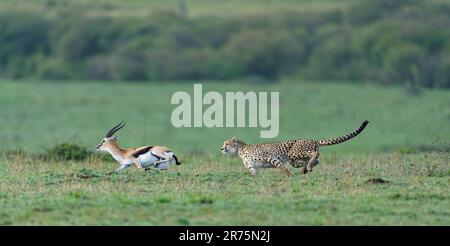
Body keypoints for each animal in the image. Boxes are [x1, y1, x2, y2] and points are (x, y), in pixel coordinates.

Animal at [221, 120, 370, 176]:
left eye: (226, 143)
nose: (221, 149)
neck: (240, 151)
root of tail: (312, 140)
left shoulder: (270, 157)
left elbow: (282, 167)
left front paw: (289, 176)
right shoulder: (253, 167)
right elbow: (255, 174)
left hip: (293, 152)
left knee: (315, 154)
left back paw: (307, 167)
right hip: (294, 159)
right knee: (315, 159)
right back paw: (306, 169)